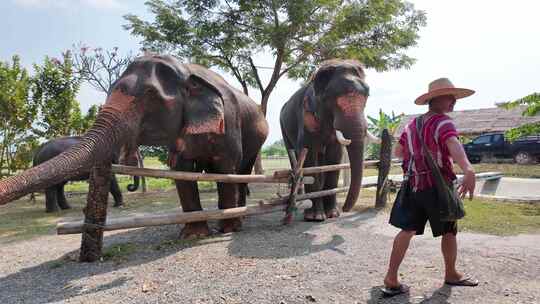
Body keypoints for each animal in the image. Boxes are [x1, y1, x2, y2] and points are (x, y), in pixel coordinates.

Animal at [0, 54, 268, 239]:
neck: (187, 70)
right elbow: (182, 173)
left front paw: (228, 230)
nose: (132, 185)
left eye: (150, 95)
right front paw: (194, 235)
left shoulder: (229, 124)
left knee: (241, 172)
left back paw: (239, 218)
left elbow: (226, 170)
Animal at [280, 58, 374, 221]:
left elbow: (335, 156)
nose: (345, 209)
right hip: (283, 127)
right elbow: (308, 155)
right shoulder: (306, 116)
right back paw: (298, 205)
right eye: (333, 98)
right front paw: (315, 217)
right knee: (294, 157)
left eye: (367, 95)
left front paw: (333, 214)